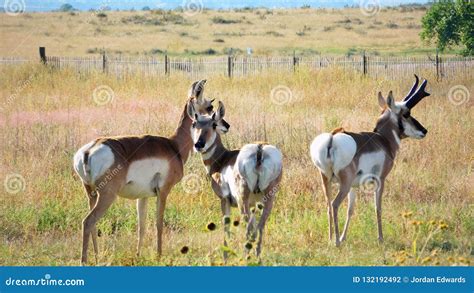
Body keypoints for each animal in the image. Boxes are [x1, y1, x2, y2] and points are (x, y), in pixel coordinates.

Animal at [187, 100, 284, 258]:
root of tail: (259, 148)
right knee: (260, 227)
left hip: (242, 200)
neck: (223, 159)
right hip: (268, 200)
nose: (199, 144)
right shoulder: (254, 205)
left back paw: (246, 257)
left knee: (249, 229)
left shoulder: (224, 200)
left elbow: (226, 229)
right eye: (195, 123)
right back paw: (257, 258)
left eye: (214, 124)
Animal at [310, 74, 432, 244]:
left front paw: (343, 237)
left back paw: (331, 239)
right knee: (334, 204)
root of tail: (332, 138)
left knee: (328, 205)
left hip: (326, 181)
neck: (383, 139)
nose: (424, 130)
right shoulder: (380, 180)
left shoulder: (354, 187)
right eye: (406, 113)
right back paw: (336, 243)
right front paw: (380, 238)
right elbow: (378, 207)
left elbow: (350, 210)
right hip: (343, 184)